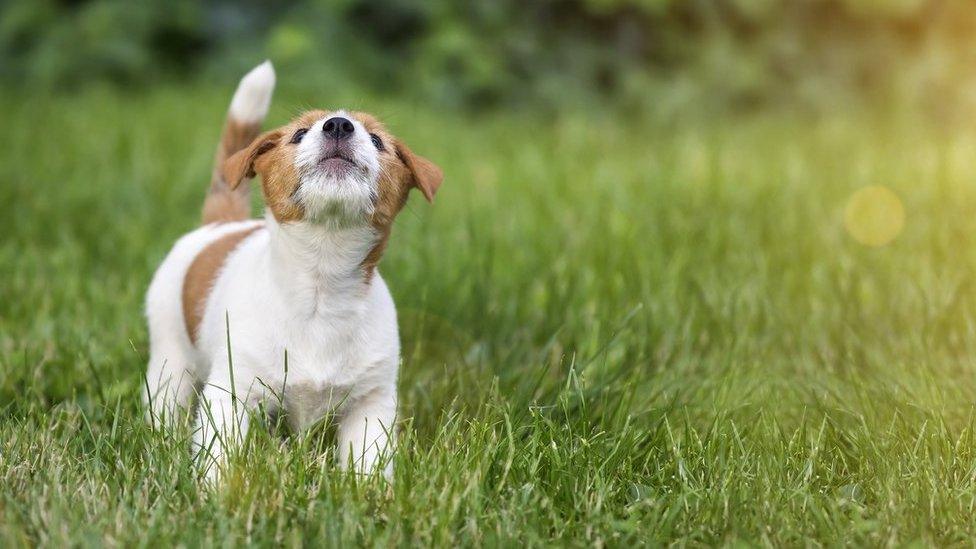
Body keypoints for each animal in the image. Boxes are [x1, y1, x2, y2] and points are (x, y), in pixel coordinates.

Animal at [144, 61, 442, 480]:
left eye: (378, 140)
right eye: (299, 133)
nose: (338, 125)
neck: (320, 285)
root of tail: (221, 224)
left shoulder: (371, 404)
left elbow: (368, 461)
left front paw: (370, 493)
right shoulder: (231, 393)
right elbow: (220, 454)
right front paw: (217, 490)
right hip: (170, 355)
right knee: (165, 401)